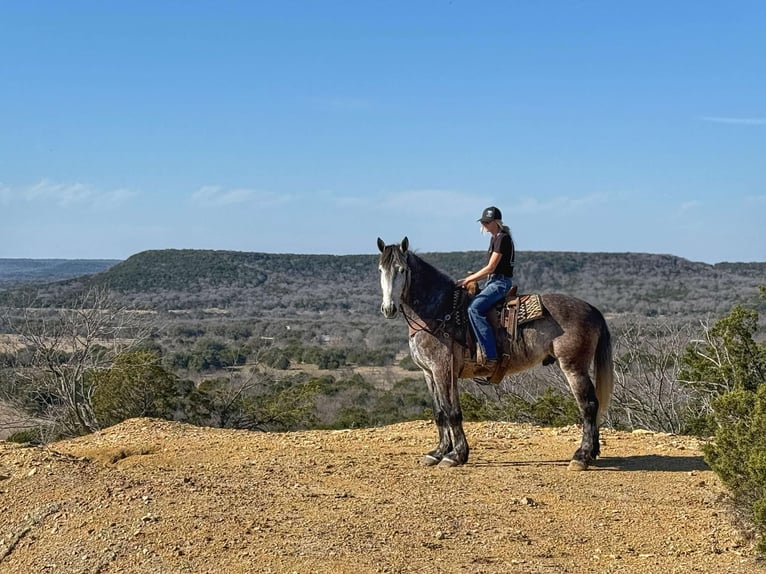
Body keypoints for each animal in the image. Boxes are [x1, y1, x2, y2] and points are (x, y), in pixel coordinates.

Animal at [378, 236, 616, 470]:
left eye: (402, 270)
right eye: (381, 270)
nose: (388, 308)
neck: (439, 311)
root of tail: (592, 309)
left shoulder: (442, 369)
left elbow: (451, 412)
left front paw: (456, 455)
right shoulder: (429, 373)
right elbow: (440, 413)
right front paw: (438, 452)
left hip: (574, 367)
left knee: (588, 405)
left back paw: (581, 457)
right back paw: (592, 453)